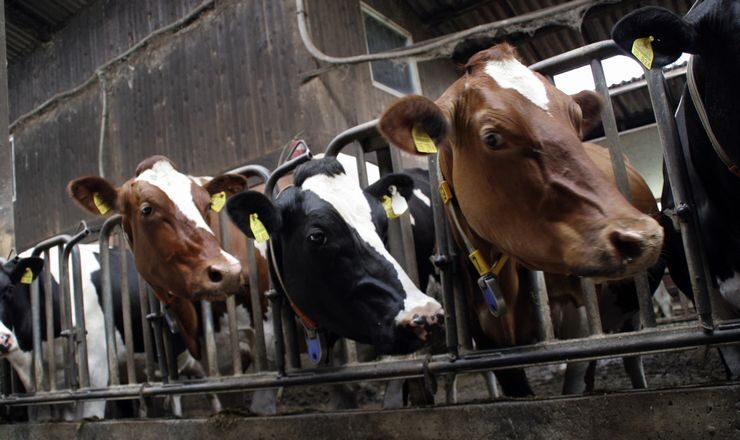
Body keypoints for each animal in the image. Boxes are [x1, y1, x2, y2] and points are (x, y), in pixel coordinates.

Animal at [376, 43, 664, 398]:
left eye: (576, 121)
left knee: (632, 358)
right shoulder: (488, 344)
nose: (640, 235)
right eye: (492, 138)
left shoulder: (584, 325)